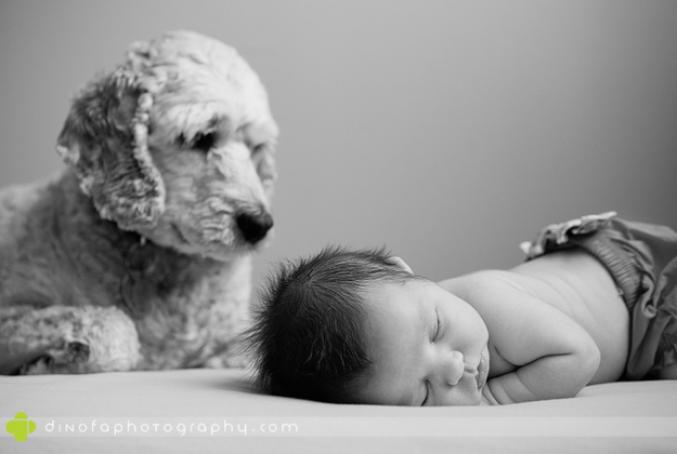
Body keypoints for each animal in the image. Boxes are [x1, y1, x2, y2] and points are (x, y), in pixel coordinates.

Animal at [0, 30, 278, 374]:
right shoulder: (12, 309)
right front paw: (51, 361)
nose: (260, 225)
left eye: (257, 148)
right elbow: (114, 328)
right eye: (201, 137)